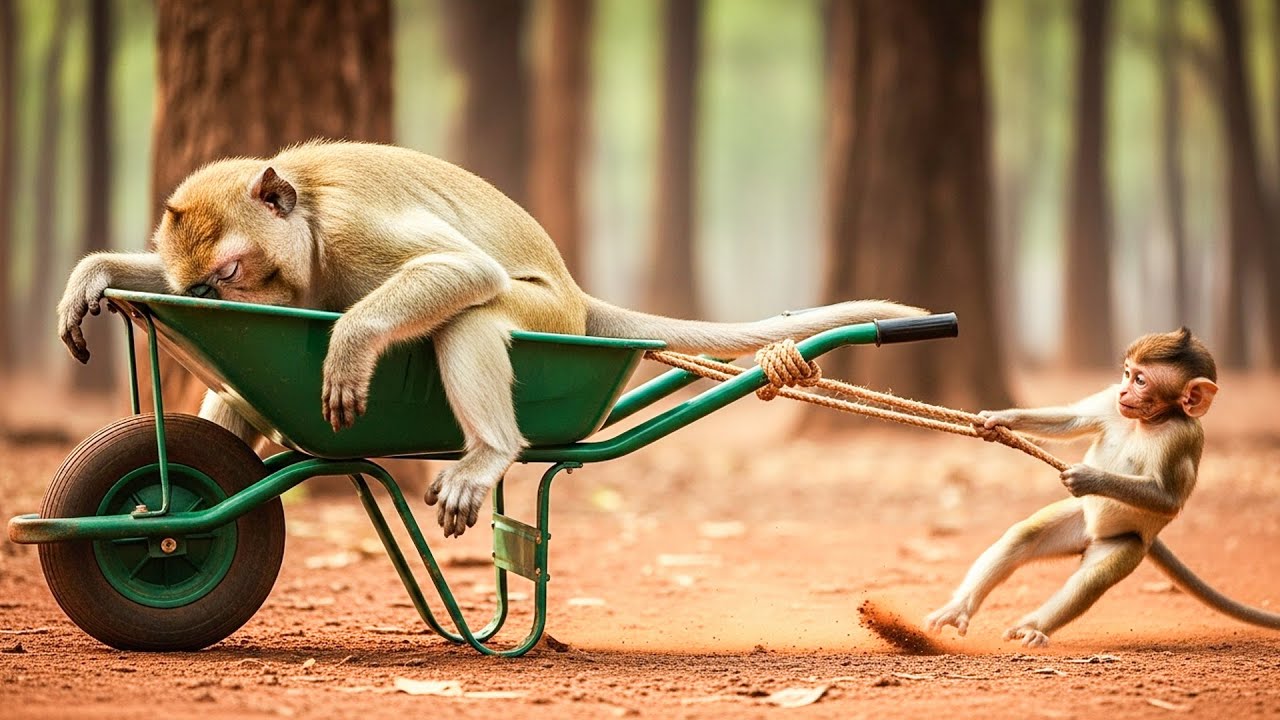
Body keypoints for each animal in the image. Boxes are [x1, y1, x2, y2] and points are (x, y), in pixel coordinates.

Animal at [56, 141, 927, 538]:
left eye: (233, 270)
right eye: (202, 288)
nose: (220, 301)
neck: (309, 227)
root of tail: (578, 296)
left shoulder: (354, 230)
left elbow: (464, 272)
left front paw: (350, 341)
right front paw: (96, 275)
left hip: (545, 318)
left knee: (475, 313)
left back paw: (491, 453)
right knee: (237, 397)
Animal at [924, 327, 1280, 647]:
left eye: (1141, 381)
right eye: (1127, 374)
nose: (1125, 393)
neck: (1147, 421)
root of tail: (1093, 534)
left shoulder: (1180, 437)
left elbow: (1168, 500)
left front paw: (1088, 477)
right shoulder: (1111, 402)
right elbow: (1071, 419)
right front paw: (997, 420)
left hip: (1126, 541)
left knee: (1092, 576)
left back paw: (1034, 627)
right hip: (1079, 518)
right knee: (1024, 536)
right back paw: (959, 608)